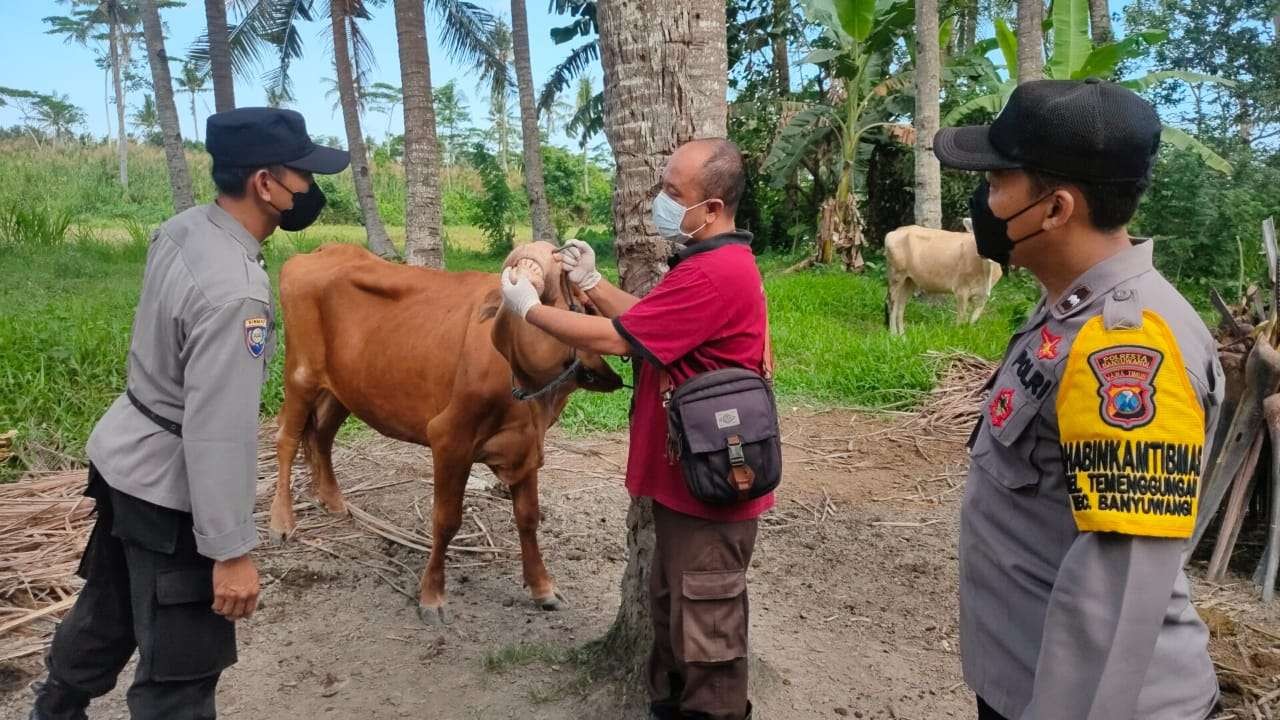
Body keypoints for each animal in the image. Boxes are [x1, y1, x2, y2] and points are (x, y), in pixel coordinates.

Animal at [270, 242, 624, 622]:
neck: (531, 402)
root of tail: (323, 250)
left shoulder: (527, 447)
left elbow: (529, 517)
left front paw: (543, 587)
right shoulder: (449, 439)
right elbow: (446, 520)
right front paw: (432, 594)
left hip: (345, 387)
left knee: (321, 434)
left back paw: (334, 501)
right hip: (300, 374)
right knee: (287, 438)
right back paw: (282, 521)